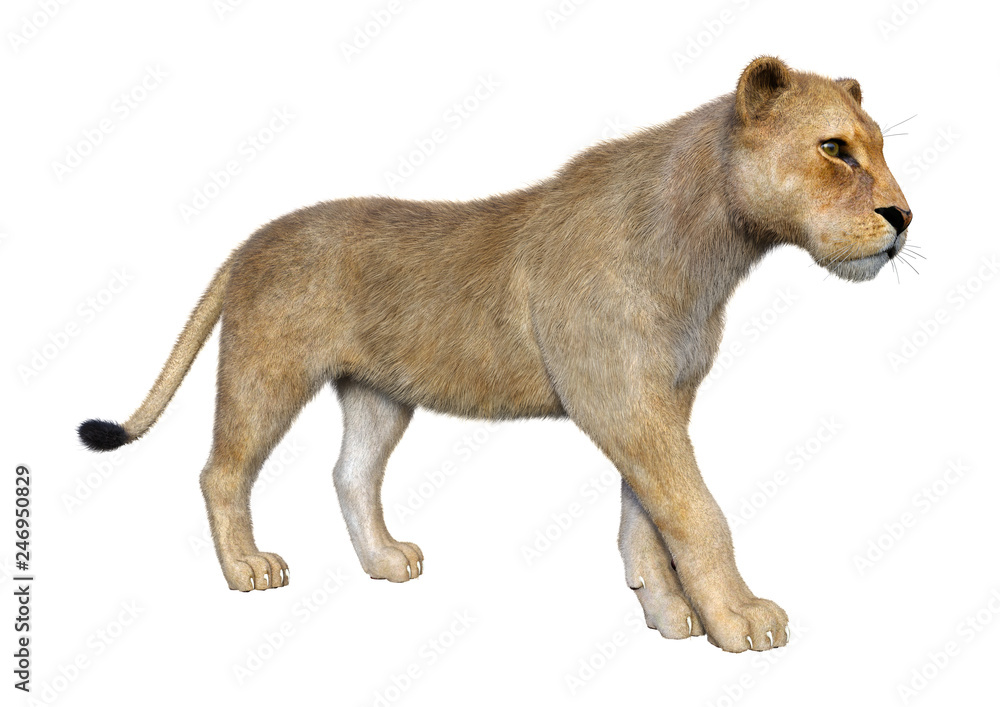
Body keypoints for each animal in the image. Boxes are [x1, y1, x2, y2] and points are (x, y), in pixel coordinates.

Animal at [79, 56, 912, 652]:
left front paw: (666, 613)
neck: (716, 246)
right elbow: (695, 511)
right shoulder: (622, 399)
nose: (903, 216)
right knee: (222, 470)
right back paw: (249, 571)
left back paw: (385, 561)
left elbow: (644, 515)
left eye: (876, 146)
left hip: (379, 393)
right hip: (268, 370)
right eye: (834, 148)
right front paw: (739, 618)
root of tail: (250, 240)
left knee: (350, 474)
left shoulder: (658, 396)